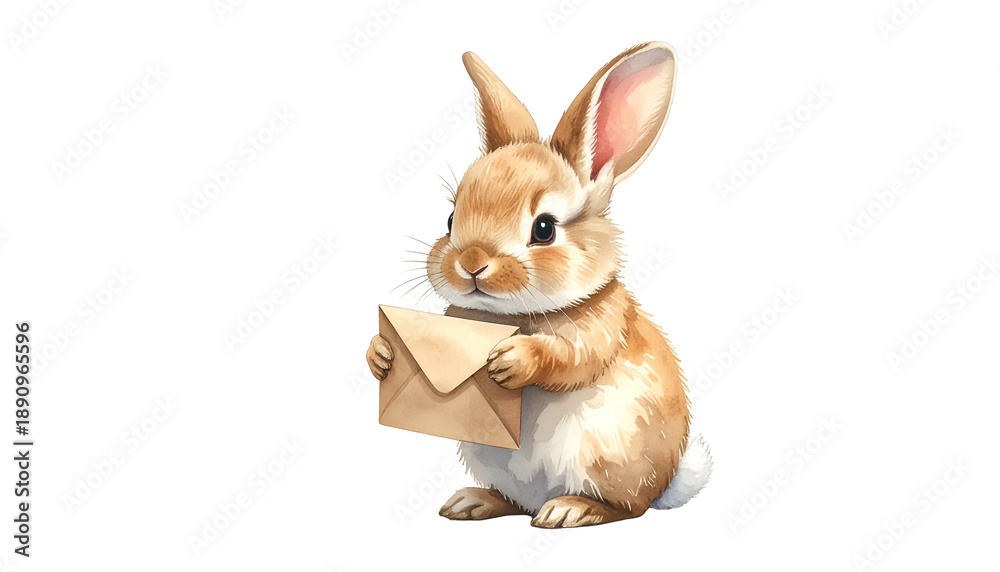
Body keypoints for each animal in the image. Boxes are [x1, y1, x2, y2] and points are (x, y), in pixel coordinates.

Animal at [367, 41, 711, 528]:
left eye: (544, 229)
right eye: (451, 219)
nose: (471, 263)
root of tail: (667, 480)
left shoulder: (599, 331)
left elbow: (569, 359)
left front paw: (510, 360)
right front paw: (381, 354)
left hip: (608, 458)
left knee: (629, 508)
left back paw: (568, 509)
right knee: (516, 502)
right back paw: (472, 502)